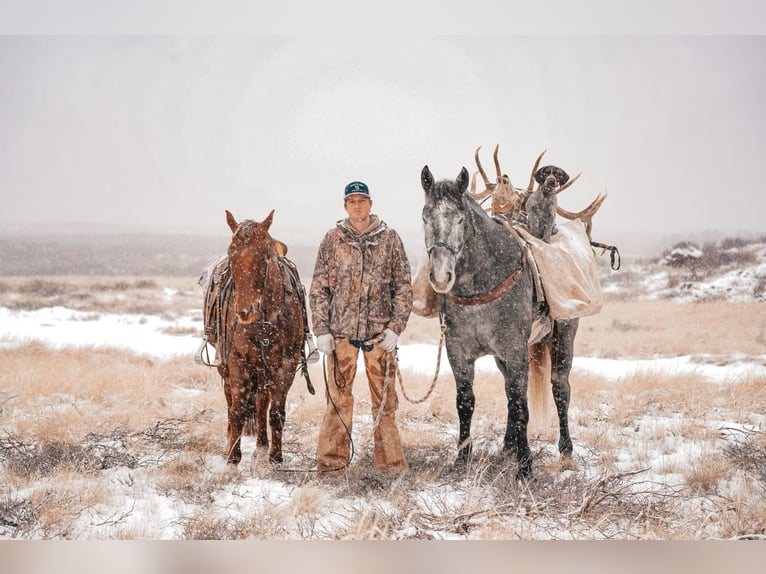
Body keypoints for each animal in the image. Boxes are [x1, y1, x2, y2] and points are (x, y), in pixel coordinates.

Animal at [218, 209, 308, 466]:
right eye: (231, 254)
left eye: (264, 257)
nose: (244, 311)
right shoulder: (237, 361)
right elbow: (237, 411)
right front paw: (233, 459)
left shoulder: (286, 364)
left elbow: (275, 412)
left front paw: (275, 457)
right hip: (228, 368)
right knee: (231, 402)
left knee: (260, 403)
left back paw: (261, 445)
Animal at [420, 165, 578, 479]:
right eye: (425, 217)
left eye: (459, 218)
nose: (441, 277)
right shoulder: (458, 352)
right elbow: (466, 402)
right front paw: (463, 458)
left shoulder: (515, 350)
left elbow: (521, 406)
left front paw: (525, 467)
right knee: (509, 392)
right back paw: (508, 446)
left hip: (563, 338)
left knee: (560, 388)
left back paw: (566, 452)